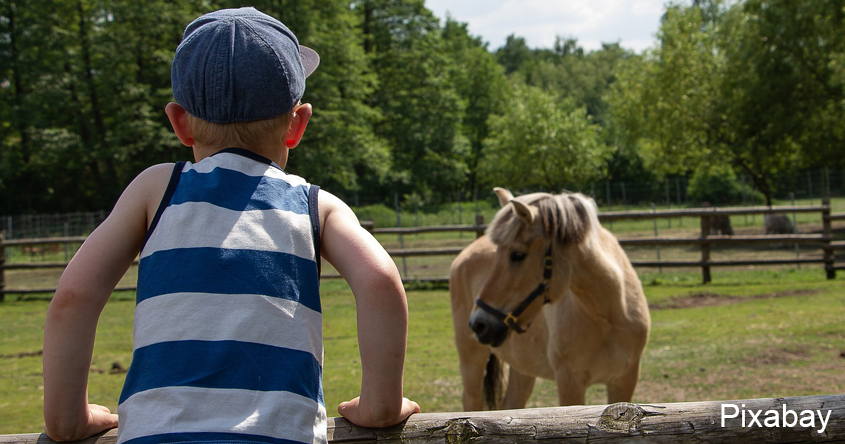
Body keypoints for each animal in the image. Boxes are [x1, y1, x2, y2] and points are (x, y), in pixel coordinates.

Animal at [448, 187, 652, 410]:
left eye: (517, 254)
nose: (478, 324)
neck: (607, 315)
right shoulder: (569, 382)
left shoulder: (624, 380)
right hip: (472, 359)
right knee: (471, 400)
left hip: (522, 368)